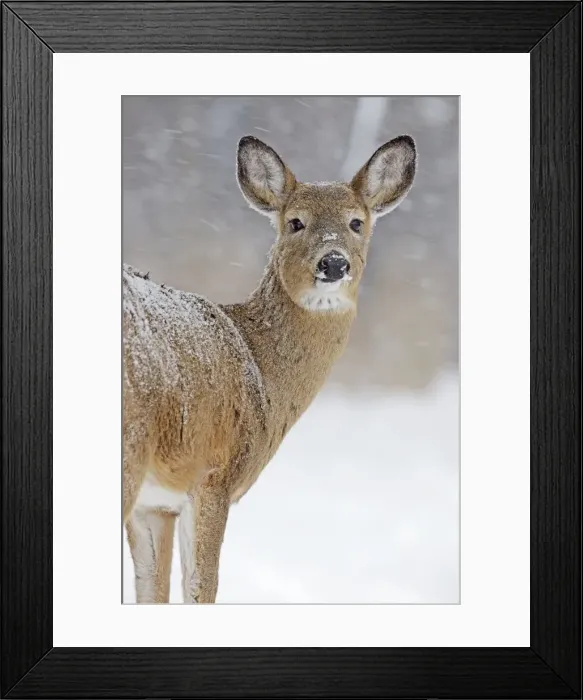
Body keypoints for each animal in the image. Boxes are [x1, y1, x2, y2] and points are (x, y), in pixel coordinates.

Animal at [123, 134, 417, 603]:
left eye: (357, 222)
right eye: (295, 222)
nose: (334, 262)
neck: (260, 371)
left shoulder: (156, 503)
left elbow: (151, 592)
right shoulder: (214, 475)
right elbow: (201, 588)